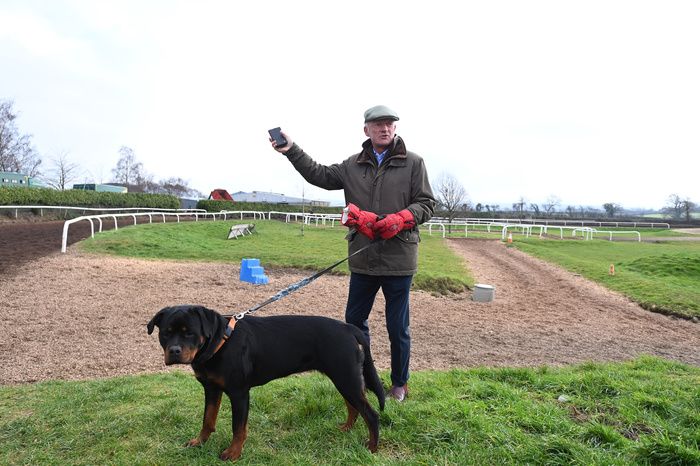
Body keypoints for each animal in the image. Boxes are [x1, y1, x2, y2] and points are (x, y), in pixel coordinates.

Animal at [148, 304, 386, 460]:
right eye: (165, 333)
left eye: (189, 333)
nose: (174, 351)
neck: (220, 343)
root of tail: (349, 328)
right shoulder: (211, 389)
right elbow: (207, 419)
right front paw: (199, 442)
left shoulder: (239, 393)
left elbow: (238, 428)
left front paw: (233, 453)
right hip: (343, 379)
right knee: (353, 407)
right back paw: (346, 428)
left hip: (346, 378)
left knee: (371, 414)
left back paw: (372, 449)